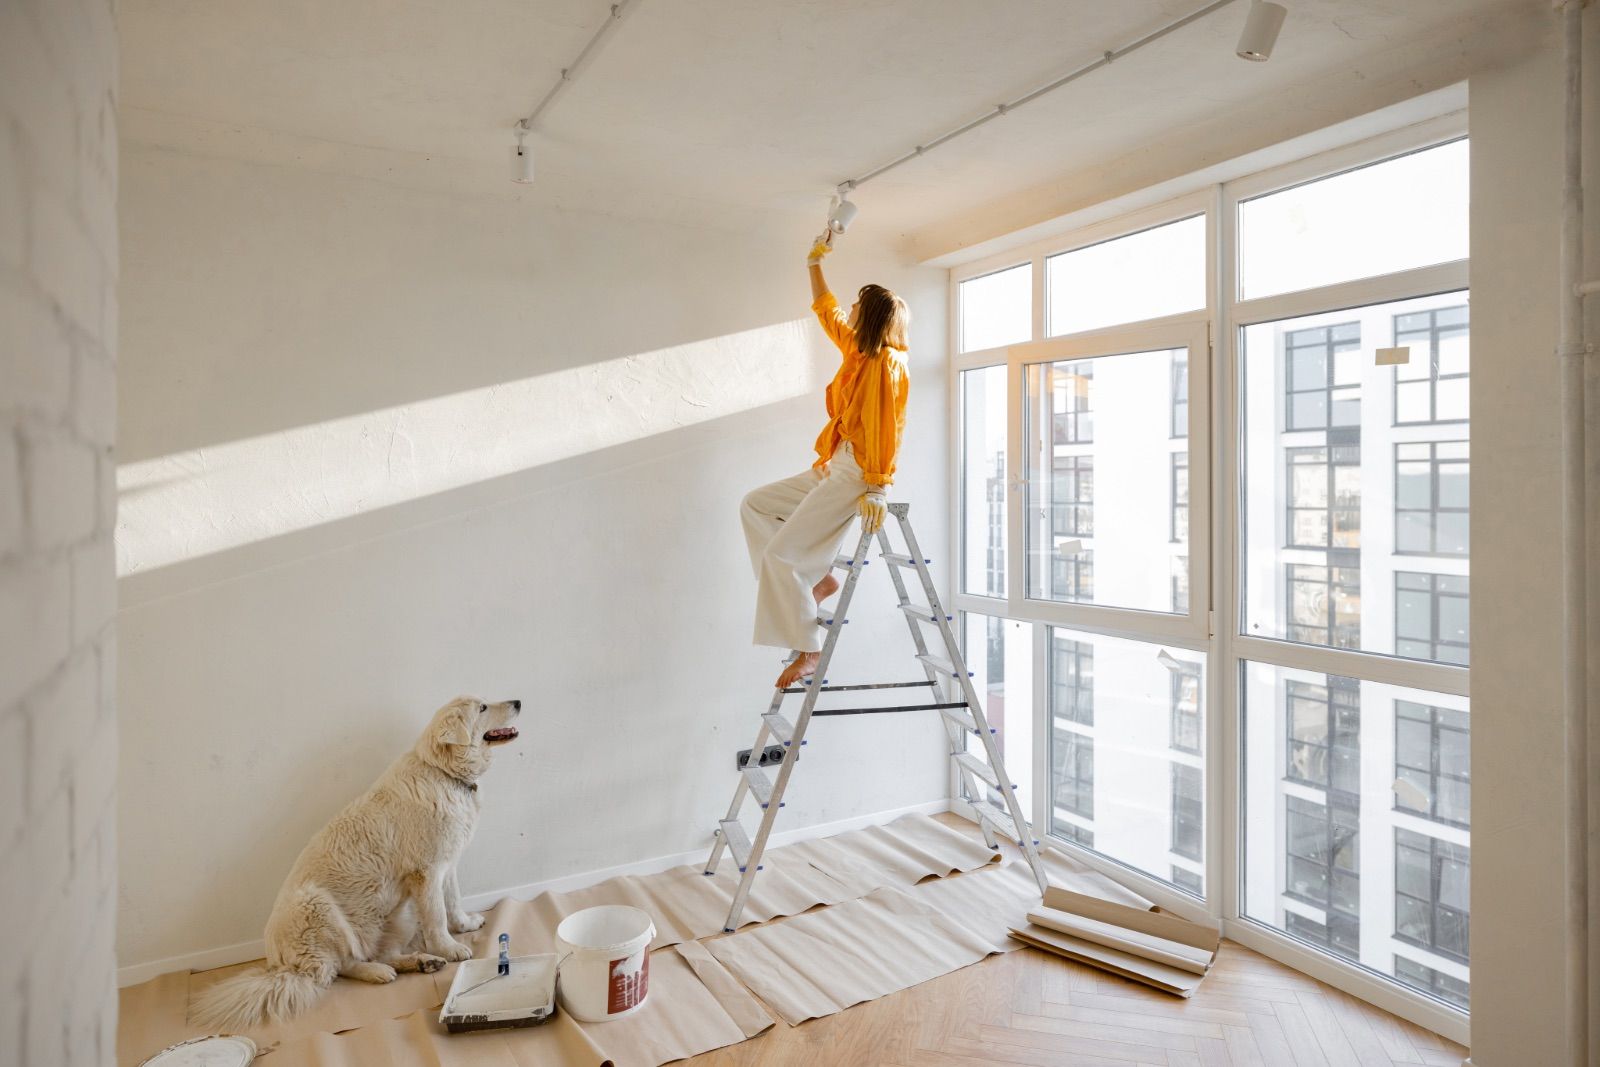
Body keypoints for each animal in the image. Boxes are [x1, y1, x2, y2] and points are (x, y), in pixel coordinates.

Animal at [191, 697, 521, 1030]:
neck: (442, 772)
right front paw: (451, 949)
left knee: (376, 953)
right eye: (482, 708)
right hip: (318, 907)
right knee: (340, 967)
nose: (518, 702)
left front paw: (465, 925)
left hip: (399, 913)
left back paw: (420, 961)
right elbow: (438, 917)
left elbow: (453, 903)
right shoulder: (426, 874)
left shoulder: (446, 865)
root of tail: (279, 966)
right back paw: (382, 972)